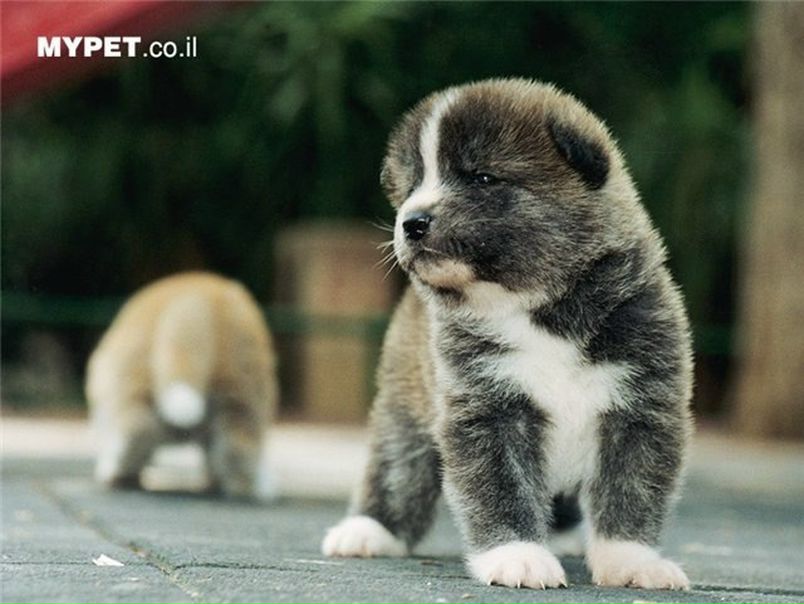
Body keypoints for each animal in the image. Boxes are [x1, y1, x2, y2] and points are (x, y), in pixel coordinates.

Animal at [322, 79, 693, 590]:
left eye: (481, 178)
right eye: (413, 185)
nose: (411, 222)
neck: (537, 309)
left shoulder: (641, 407)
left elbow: (632, 490)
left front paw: (631, 560)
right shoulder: (488, 411)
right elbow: (500, 488)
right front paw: (517, 555)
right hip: (405, 407)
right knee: (398, 469)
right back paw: (368, 529)